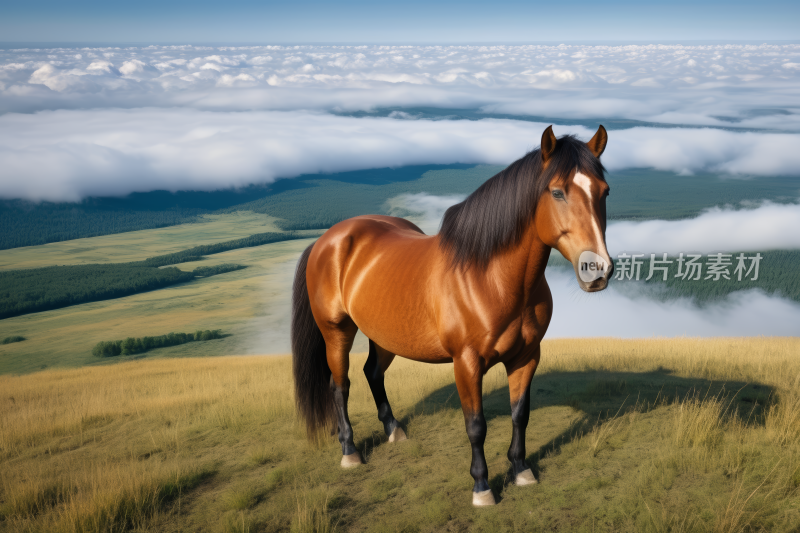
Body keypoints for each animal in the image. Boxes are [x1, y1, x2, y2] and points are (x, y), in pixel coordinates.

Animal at [294, 123, 612, 502]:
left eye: (604, 192)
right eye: (557, 192)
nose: (597, 270)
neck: (489, 277)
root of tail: (327, 240)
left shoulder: (526, 357)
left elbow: (520, 414)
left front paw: (521, 470)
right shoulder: (467, 363)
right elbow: (476, 426)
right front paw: (482, 487)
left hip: (384, 333)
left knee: (373, 372)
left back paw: (394, 430)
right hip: (336, 331)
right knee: (340, 384)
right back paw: (350, 451)